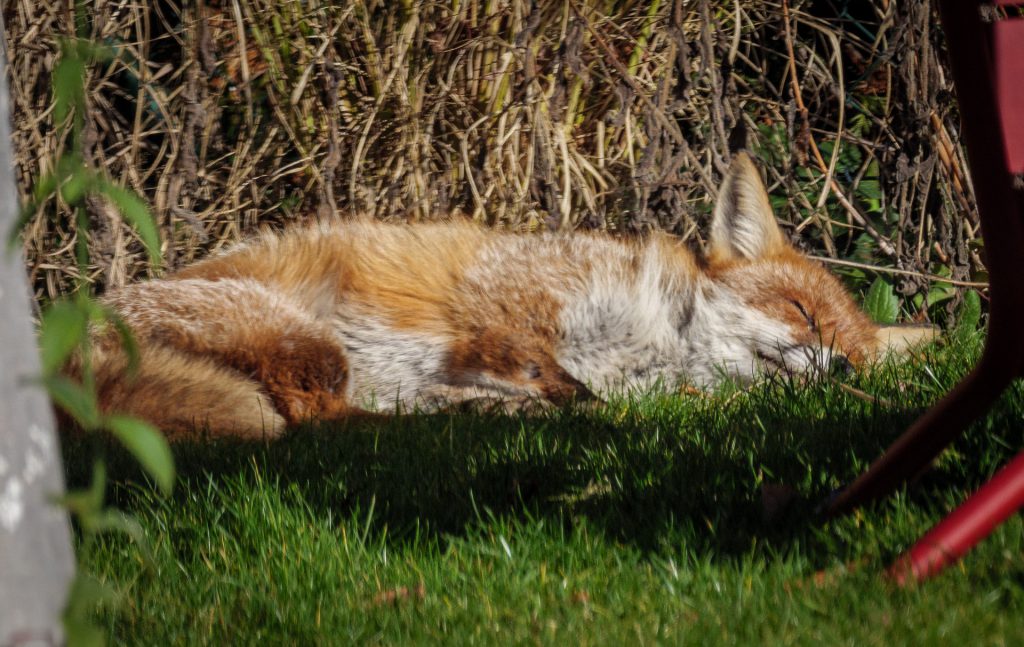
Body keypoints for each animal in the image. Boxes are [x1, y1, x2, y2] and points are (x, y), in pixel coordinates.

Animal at [83, 154, 933, 438]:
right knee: (312, 422)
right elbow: (529, 358)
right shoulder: (512, 291)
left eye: (856, 355)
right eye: (803, 312)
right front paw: (547, 393)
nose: (839, 369)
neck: (655, 344)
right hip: (307, 341)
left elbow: (569, 389)